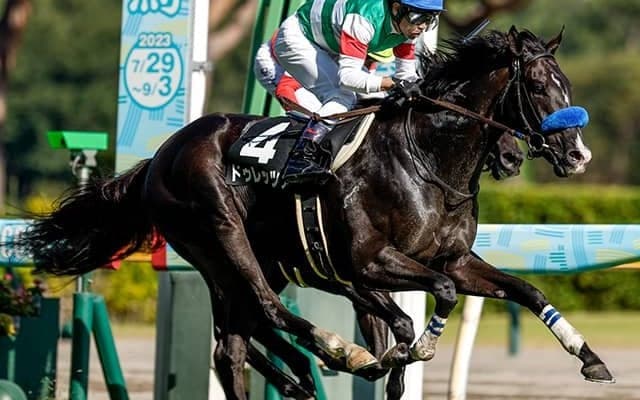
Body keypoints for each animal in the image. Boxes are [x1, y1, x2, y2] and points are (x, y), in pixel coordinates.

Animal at [16, 26, 613, 400]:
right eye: (535, 85)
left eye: (566, 84)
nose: (577, 154)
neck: (426, 160)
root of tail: (158, 158)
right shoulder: (370, 261)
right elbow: (430, 303)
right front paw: (410, 347)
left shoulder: (453, 259)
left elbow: (526, 290)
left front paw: (589, 356)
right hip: (220, 234)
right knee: (264, 310)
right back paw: (335, 352)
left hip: (239, 264)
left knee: (232, 345)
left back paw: (305, 371)